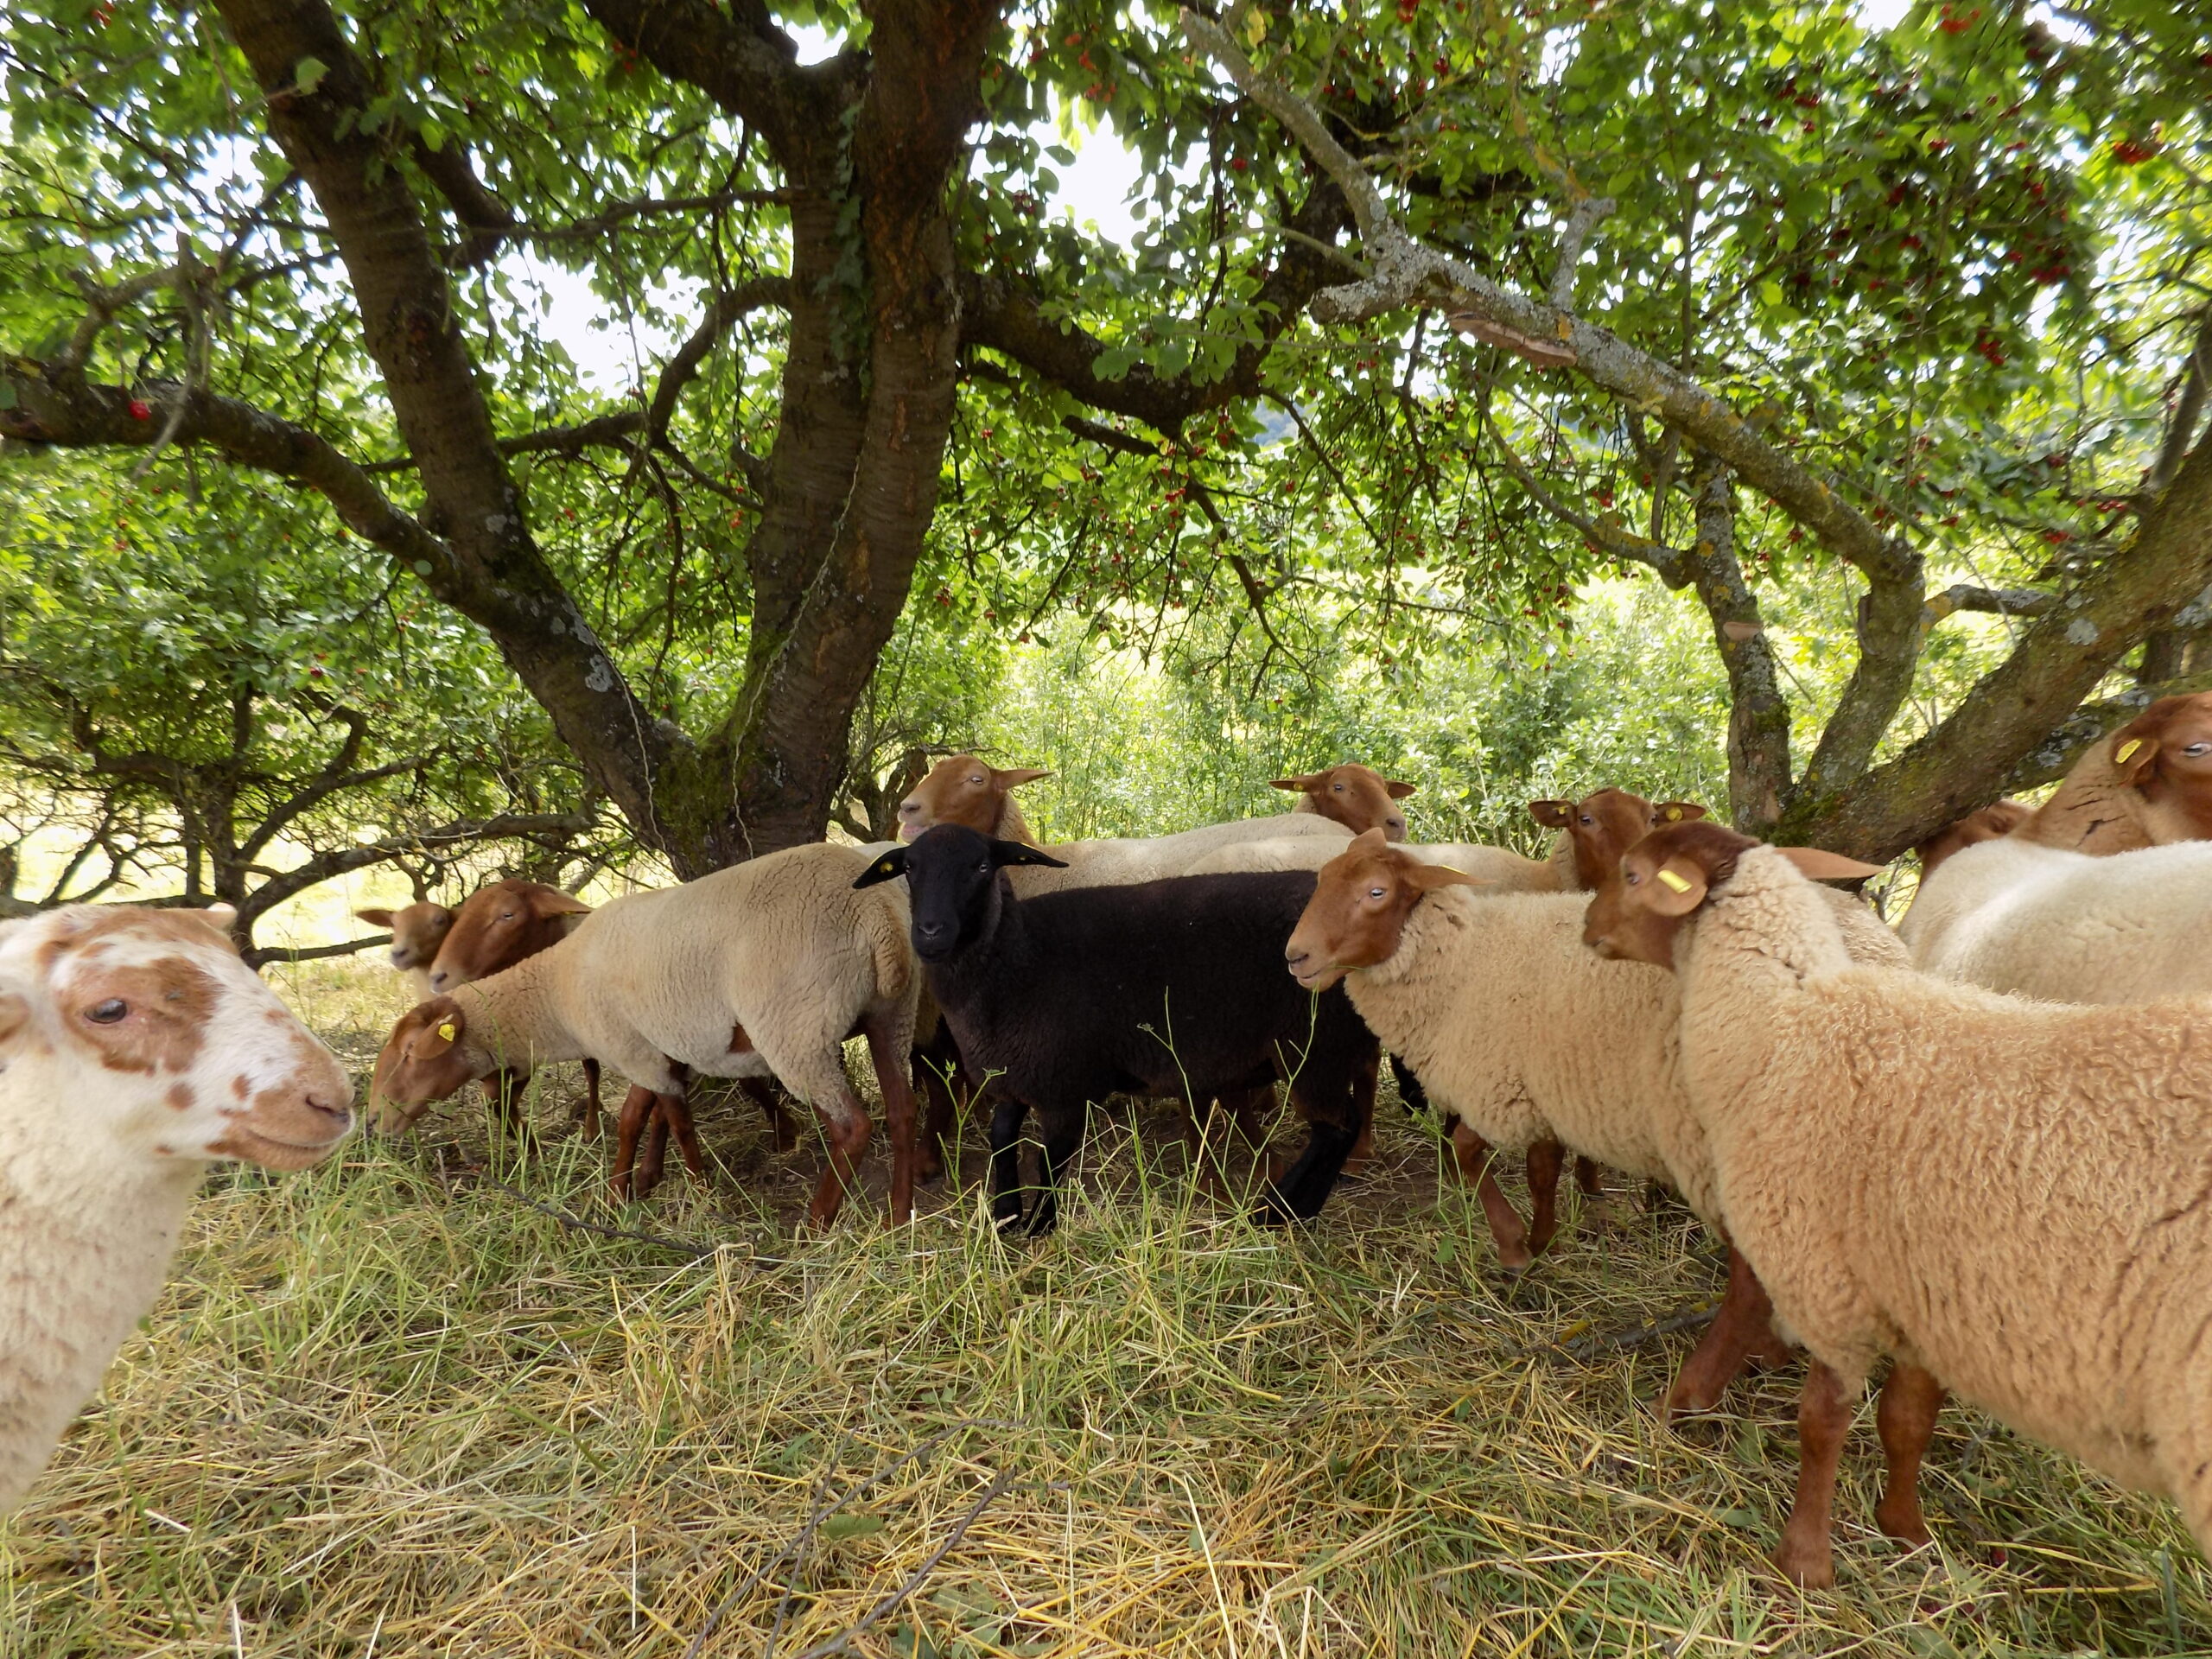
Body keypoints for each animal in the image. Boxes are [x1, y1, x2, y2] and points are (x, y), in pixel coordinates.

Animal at [369, 849, 915, 1230]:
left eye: (412, 1053)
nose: (374, 1121)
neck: (556, 989)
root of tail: (877, 913)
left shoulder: (636, 1051)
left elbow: (669, 1122)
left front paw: (697, 1195)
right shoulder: (652, 1047)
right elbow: (642, 1117)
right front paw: (625, 1191)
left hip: (796, 1028)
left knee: (853, 1127)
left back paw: (815, 1224)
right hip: (891, 1016)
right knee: (901, 1110)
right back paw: (898, 1216)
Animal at [854, 827, 1371, 1238]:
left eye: (982, 866)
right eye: (909, 869)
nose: (930, 933)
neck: (1016, 957)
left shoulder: (1065, 1082)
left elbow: (1051, 1159)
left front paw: (1039, 1226)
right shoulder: (1012, 1073)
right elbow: (1002, 1139)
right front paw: (1005, 1216)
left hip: (1314, 1048)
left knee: (1337, 1128)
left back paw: (1279, 1210)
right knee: (1339, 1129)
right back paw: (1295, 1210)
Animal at [1592, 827, 2212, 1592]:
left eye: (1631, 874)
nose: (1587, 926)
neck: (1783, 1021)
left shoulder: (1821, 1275)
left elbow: (1821, 1421)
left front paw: (1806, 1560)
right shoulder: (1926, 1296)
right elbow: (1907, 1420)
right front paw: (1908, 1531)